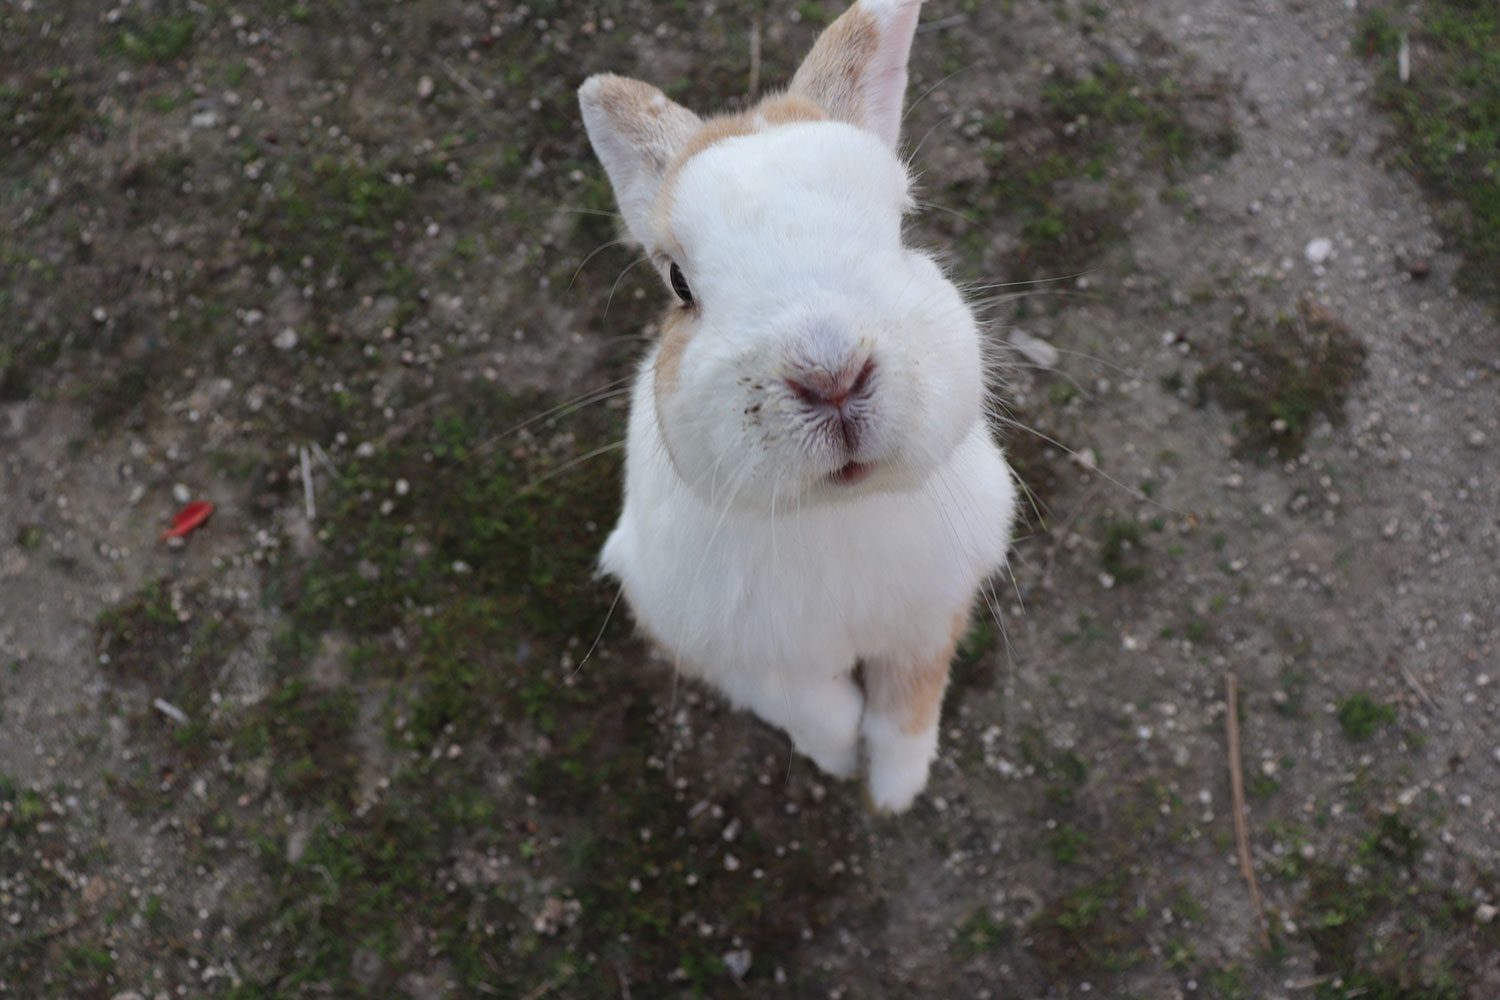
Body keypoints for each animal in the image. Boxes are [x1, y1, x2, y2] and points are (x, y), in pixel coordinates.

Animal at [579, 0, 1014, 815]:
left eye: (901, 226)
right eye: (679, 283)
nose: (832, 375)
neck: (833, 510)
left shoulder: (933, 613)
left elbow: (909, 709)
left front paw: (894, 792)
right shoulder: (717, 644)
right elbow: (816, 708)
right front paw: (841, 763)